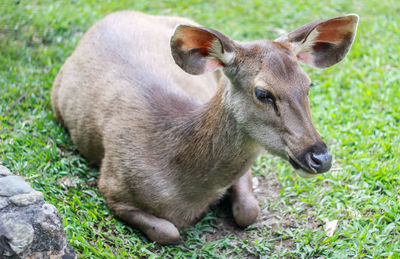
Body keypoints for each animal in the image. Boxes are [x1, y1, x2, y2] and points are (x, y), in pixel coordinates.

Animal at [50, 10, 360, 246]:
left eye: (309, 85)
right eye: (263, 93)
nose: (321, 157)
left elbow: (249, 211)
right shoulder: (111, 184)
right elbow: (169, 232)